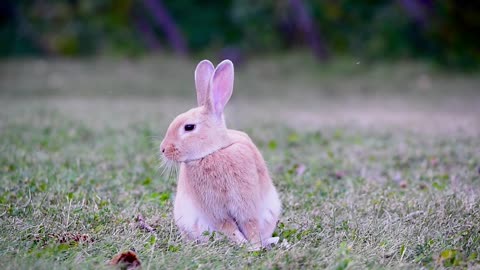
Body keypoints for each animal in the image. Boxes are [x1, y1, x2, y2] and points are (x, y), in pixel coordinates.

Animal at [161, 59, 282, 249]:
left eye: (189, 127)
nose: (163, 149)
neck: (214, 152)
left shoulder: (246, 204)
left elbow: (250, 224)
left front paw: (253, 246)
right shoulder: (215, 210)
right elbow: (228, 227)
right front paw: (245, 245)